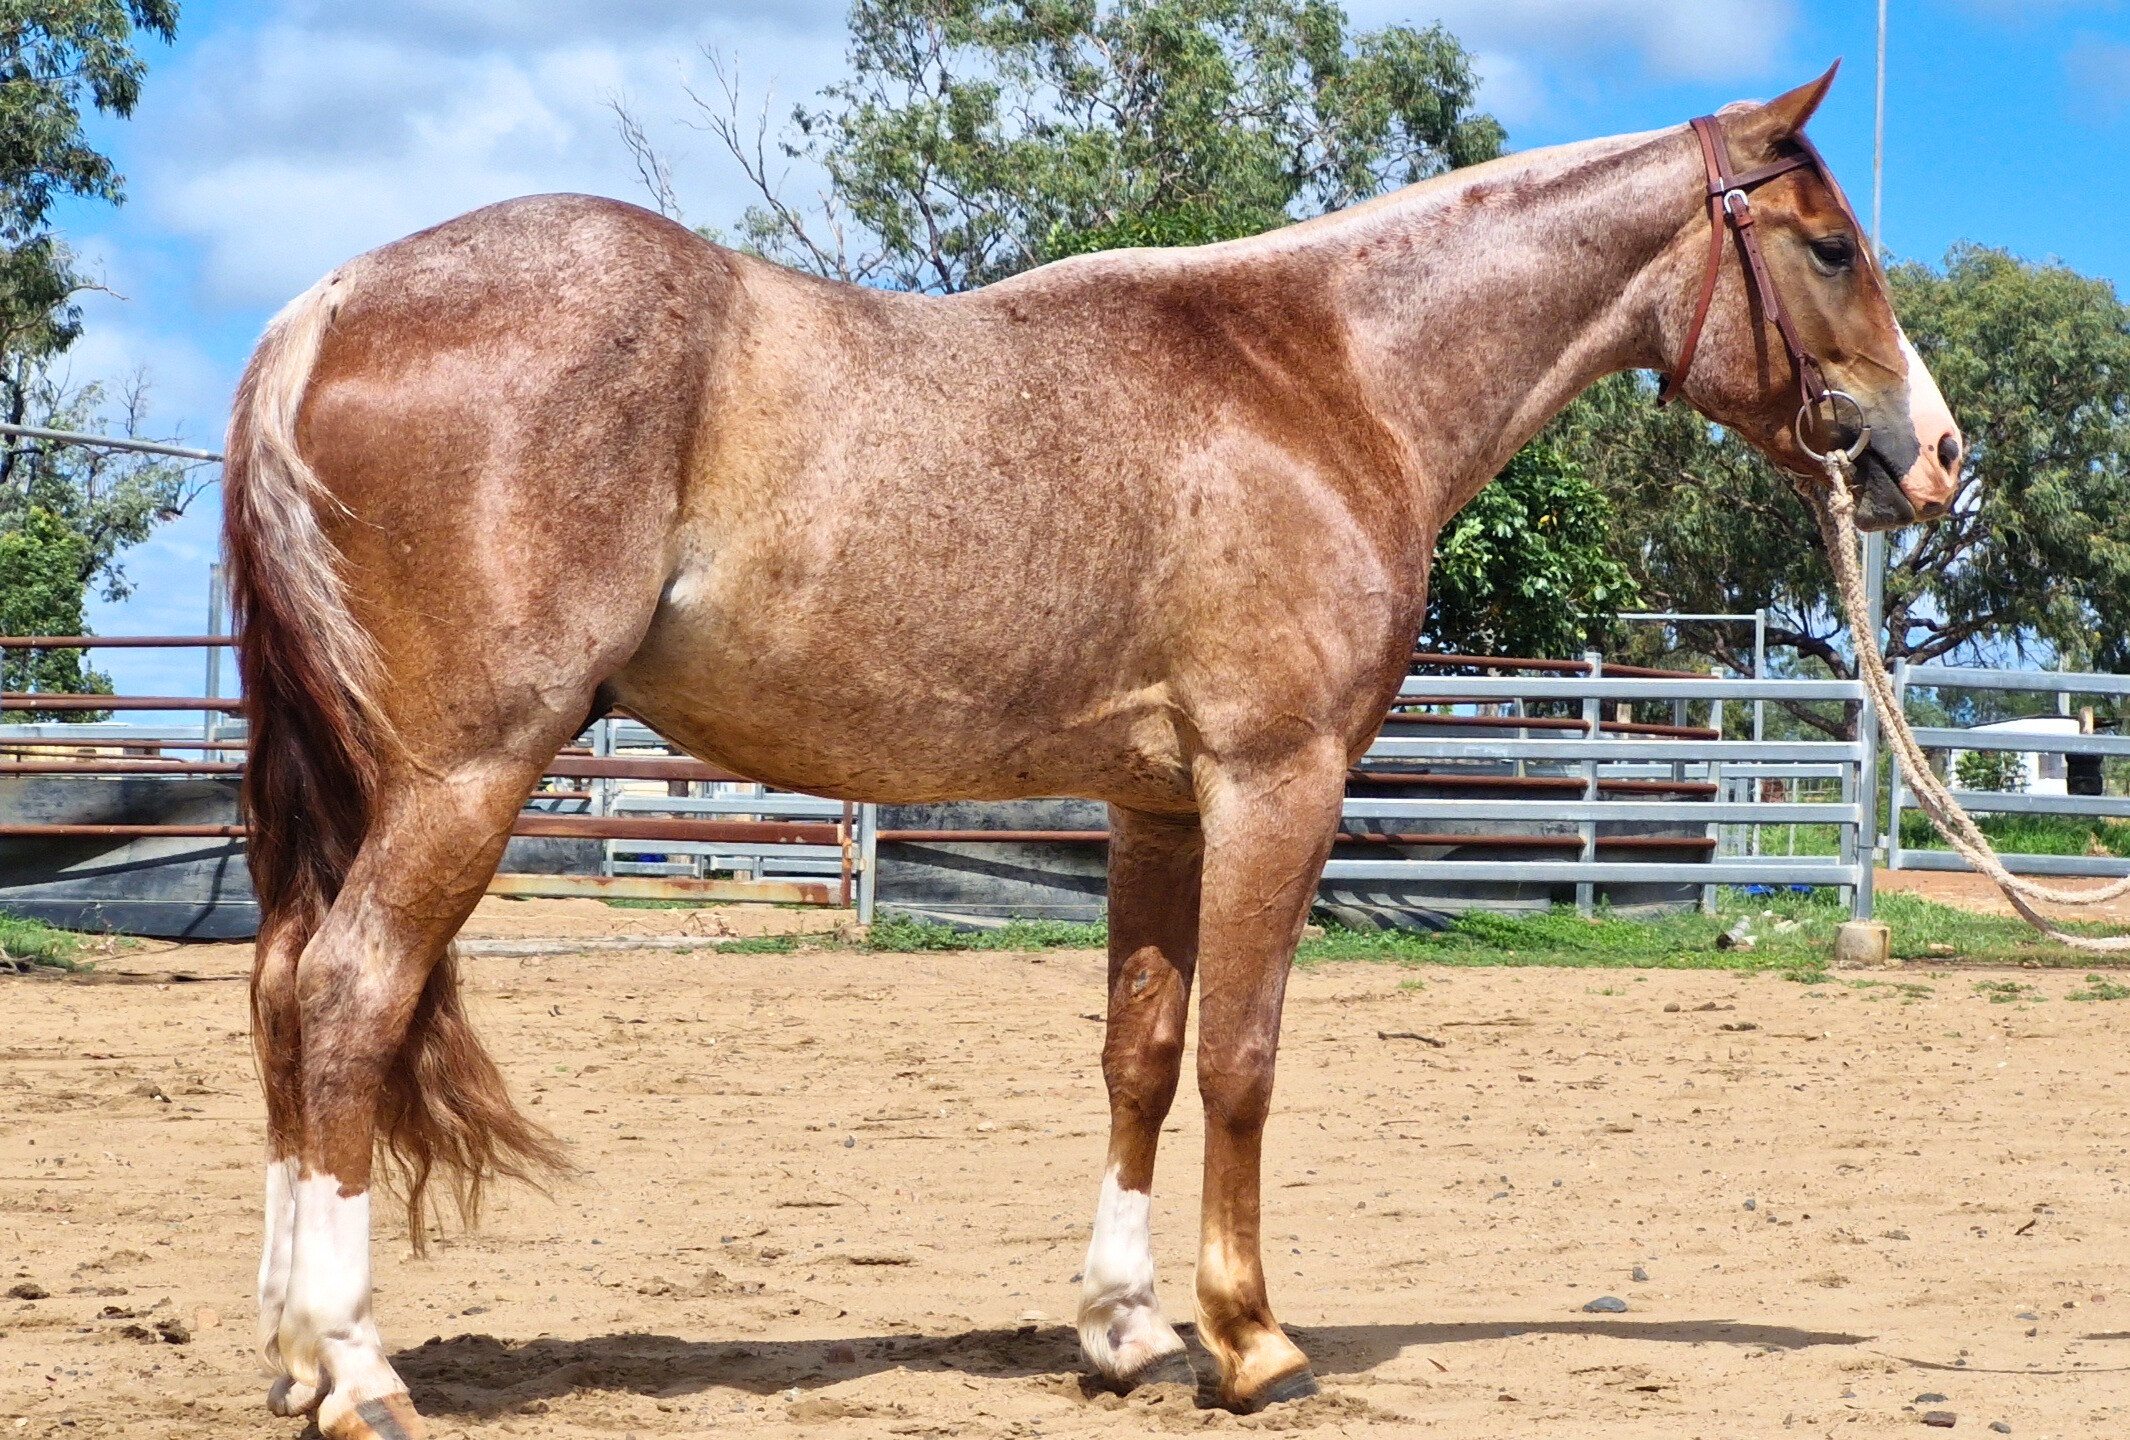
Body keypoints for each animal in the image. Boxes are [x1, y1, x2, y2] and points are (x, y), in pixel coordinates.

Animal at [226, 65, 1959, 1439]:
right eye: (1828, 246)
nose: (1935, 456)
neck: (1323, 375)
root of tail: (323, 309)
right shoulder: (1276, 782)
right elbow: (1242, 1054)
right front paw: (1250, 1340)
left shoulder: (1155, 810)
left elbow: (1141, 1050)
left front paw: (1124, 1330)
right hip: (467, 776)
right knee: (351, 995)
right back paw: (357, 1369)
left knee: (282, 987)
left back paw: (294, 1356)